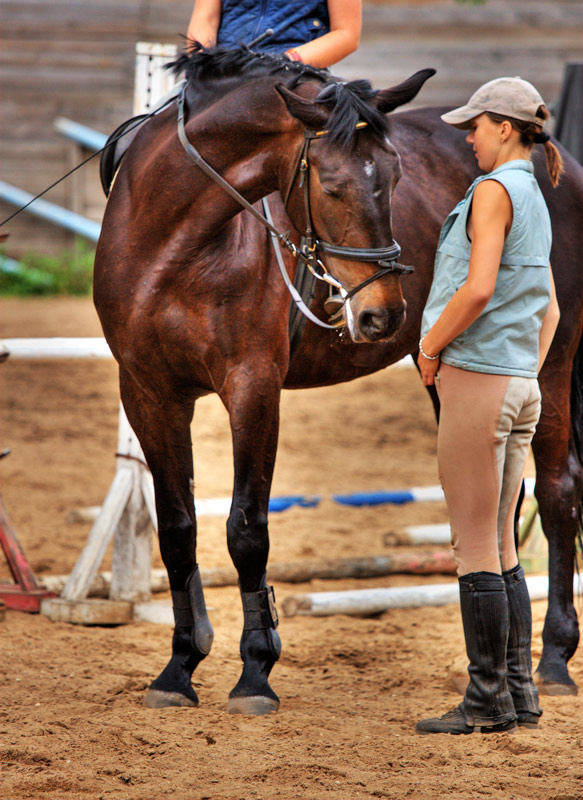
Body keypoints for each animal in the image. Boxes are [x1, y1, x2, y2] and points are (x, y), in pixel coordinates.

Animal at [95, 46, 583, 715]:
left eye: (397, 178)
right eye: (330, 186)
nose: (385, 315)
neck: (173, 241)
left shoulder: (253, 386)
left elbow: (246, 529)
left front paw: (255, 672)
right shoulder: (148, 392)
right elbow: (177, 528)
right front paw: (179, 668)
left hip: (549, 364)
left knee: (557, 490)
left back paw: (554, 659)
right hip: (449, 377)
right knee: (499, 507)